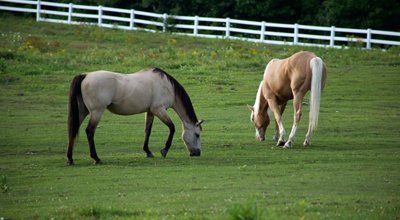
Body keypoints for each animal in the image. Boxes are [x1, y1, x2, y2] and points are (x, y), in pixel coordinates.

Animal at [68, 67, 203, 165]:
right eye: (197, 135)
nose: (197, 153)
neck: (166, 86)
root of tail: (85, 75)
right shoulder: (159, 110)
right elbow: (172, 128)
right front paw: (164, 150)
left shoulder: (150, 111)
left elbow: (147, 130)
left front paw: (148, 152)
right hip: (97, 112)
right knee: (89, 131)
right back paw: (96, 158)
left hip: (83, 111)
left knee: (73, 130)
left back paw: (70, 159)